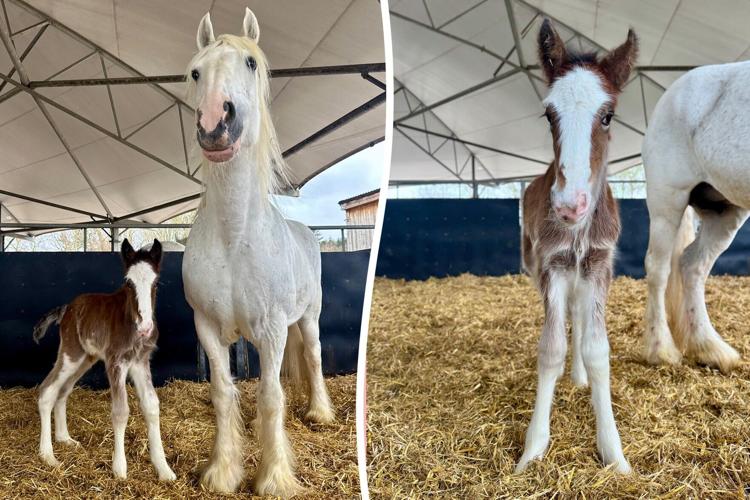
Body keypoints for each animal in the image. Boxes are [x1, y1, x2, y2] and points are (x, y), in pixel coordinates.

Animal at [34, 239, 175, 481]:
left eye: (156, 282)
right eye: (128, 283)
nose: (145, 327)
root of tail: (66, 308)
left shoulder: (140, 362)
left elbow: (151, 406)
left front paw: (164, 469)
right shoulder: (115, 361)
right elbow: (120, 412)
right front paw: (120, 468)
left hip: (86, 359)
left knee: (63, 391)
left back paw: (64, 438)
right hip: (71, 354)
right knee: (47, 391)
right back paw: (48, 456)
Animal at [181, 9, 334, 497]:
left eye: (250, 62)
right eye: (196, 72)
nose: (215, 123)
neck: (234, 239)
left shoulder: (273, 329)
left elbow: (271, 396)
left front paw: (274, 478)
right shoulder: (207, 327)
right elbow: (223, 392)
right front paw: (222, 471)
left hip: (307, 318)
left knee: (314, 356)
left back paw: (320, 413)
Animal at [515, 20, 637, 474]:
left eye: (608, 115)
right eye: (549, 114)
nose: (570, 205)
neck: (579, 231)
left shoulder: (600, 264)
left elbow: (599, 348)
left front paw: (614, 453)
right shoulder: (552, 266)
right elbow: (551, 348)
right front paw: (532, 450)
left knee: (582, 317)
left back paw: (580, 375)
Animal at [641, 61, 750, 374]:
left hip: (723, 212)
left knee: (692, 265)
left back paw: (709, 349)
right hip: (667, 201)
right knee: (658, 268)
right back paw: (661, 351)